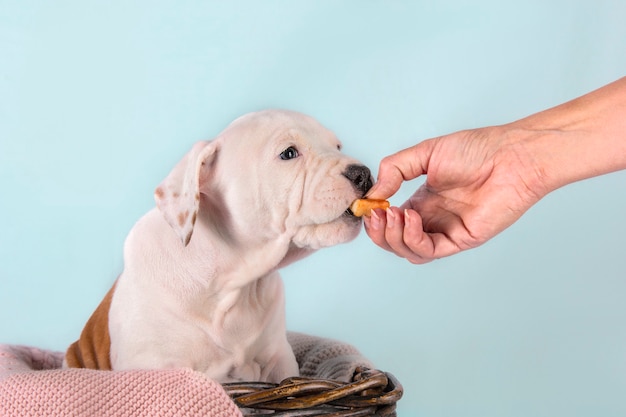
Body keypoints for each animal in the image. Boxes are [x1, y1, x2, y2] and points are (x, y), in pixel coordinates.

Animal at [64, 109, 370, 382]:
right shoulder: (155, 365)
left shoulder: (279, 359)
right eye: (288, 153)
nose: (363, 173)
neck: (234, 283)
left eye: (337, 146)